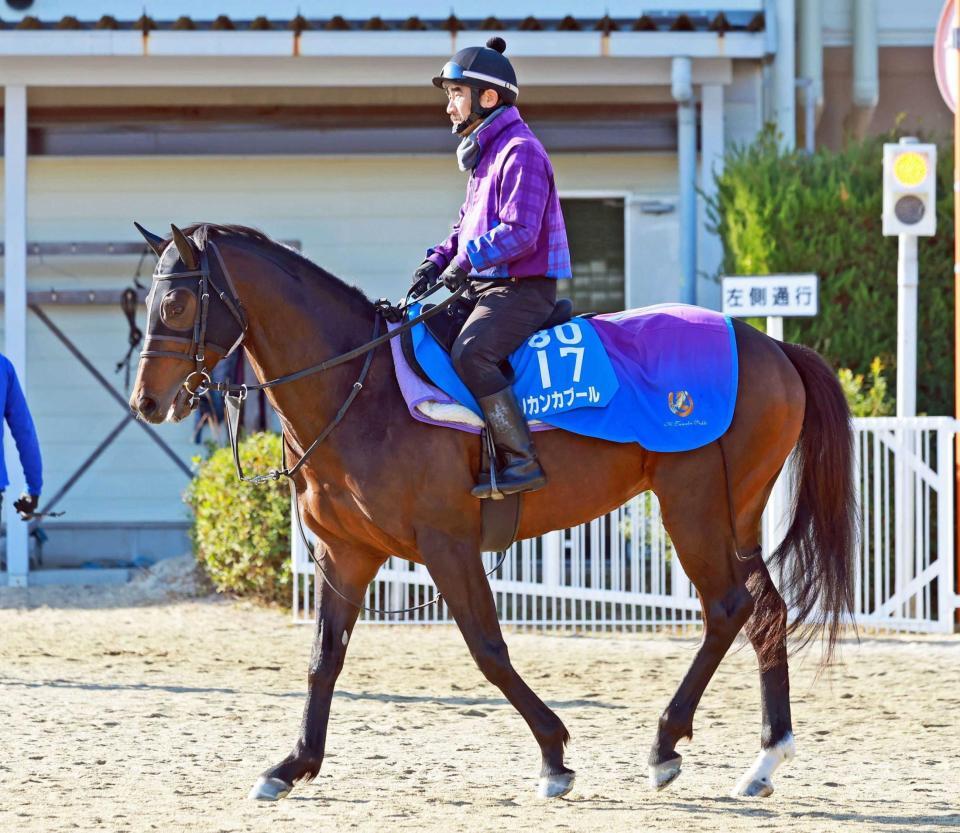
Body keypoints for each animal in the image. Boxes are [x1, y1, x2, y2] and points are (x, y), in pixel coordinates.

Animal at [127, 221, 856, 800]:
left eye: (178, 300)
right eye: (149, 300)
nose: (147, 402)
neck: (361, 388)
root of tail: (770, 345)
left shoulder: (447, 544)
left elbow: (487, 650)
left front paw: (555, 754)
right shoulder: (346, 552)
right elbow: (323, 657)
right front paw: (293, 763)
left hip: (693, 504)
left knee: (727, 609)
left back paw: (665, 743)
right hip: (736, 515)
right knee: (766, 611)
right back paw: (765, 757)